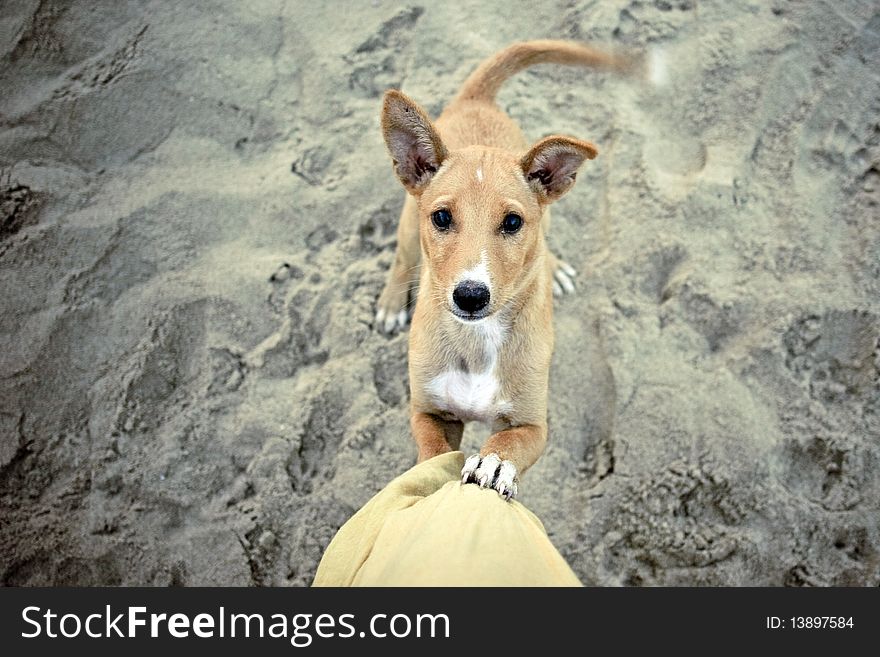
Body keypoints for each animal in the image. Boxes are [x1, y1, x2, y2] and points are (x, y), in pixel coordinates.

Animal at [374, 39, 636, 498]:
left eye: (512, 222)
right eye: (441, 217)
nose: (470, 295)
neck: (478, 340)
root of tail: (476, 99)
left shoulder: (533, 425)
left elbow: (508, 442)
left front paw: (494, 463)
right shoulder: (427, 411)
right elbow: (433, 450)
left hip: (548, 216)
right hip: (407, 223)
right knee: (403, 257)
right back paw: (391, 302)